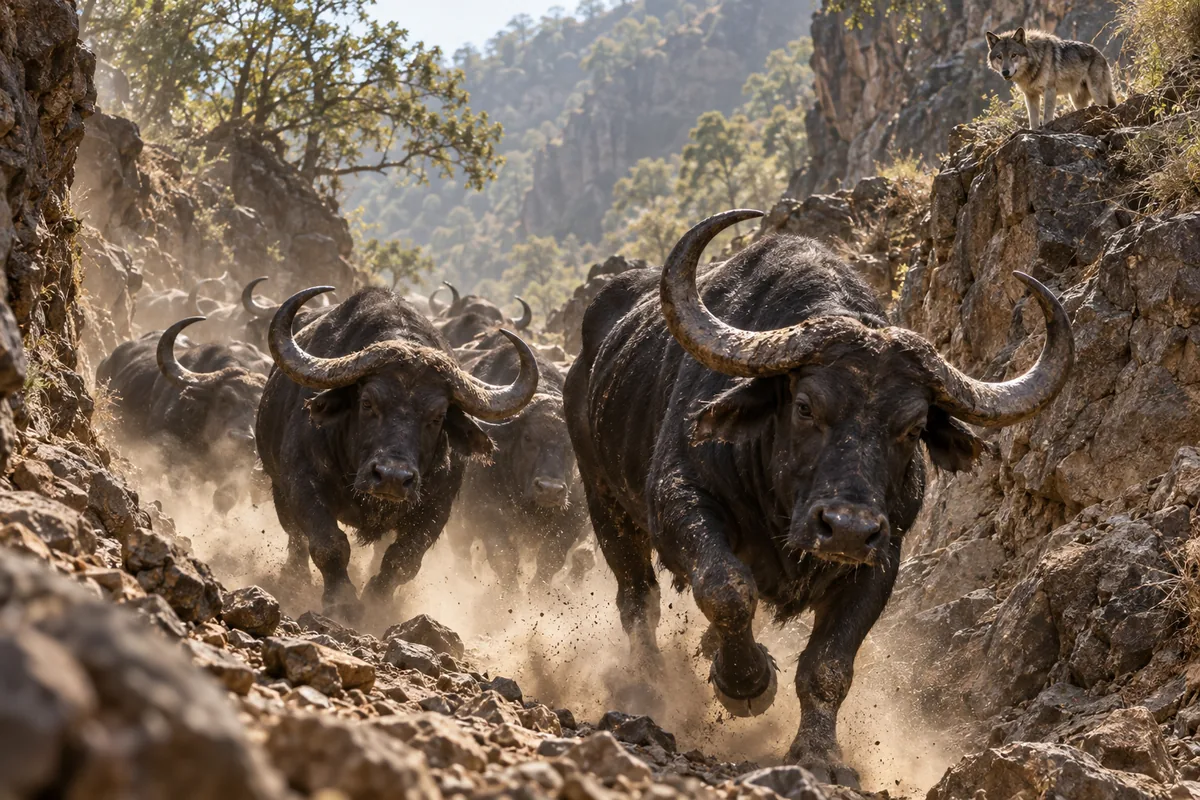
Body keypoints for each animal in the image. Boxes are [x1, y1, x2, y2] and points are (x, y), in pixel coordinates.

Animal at [985, 27, 1118, 128]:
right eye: (999, 57)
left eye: (1014, 55)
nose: (1005, 72)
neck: (1034, 64)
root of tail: (1101, 54)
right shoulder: (1030, 95)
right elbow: (1033, 119)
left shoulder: (1049, 90)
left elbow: (1047, 116)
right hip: (1077, 101)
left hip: (1096, 93)